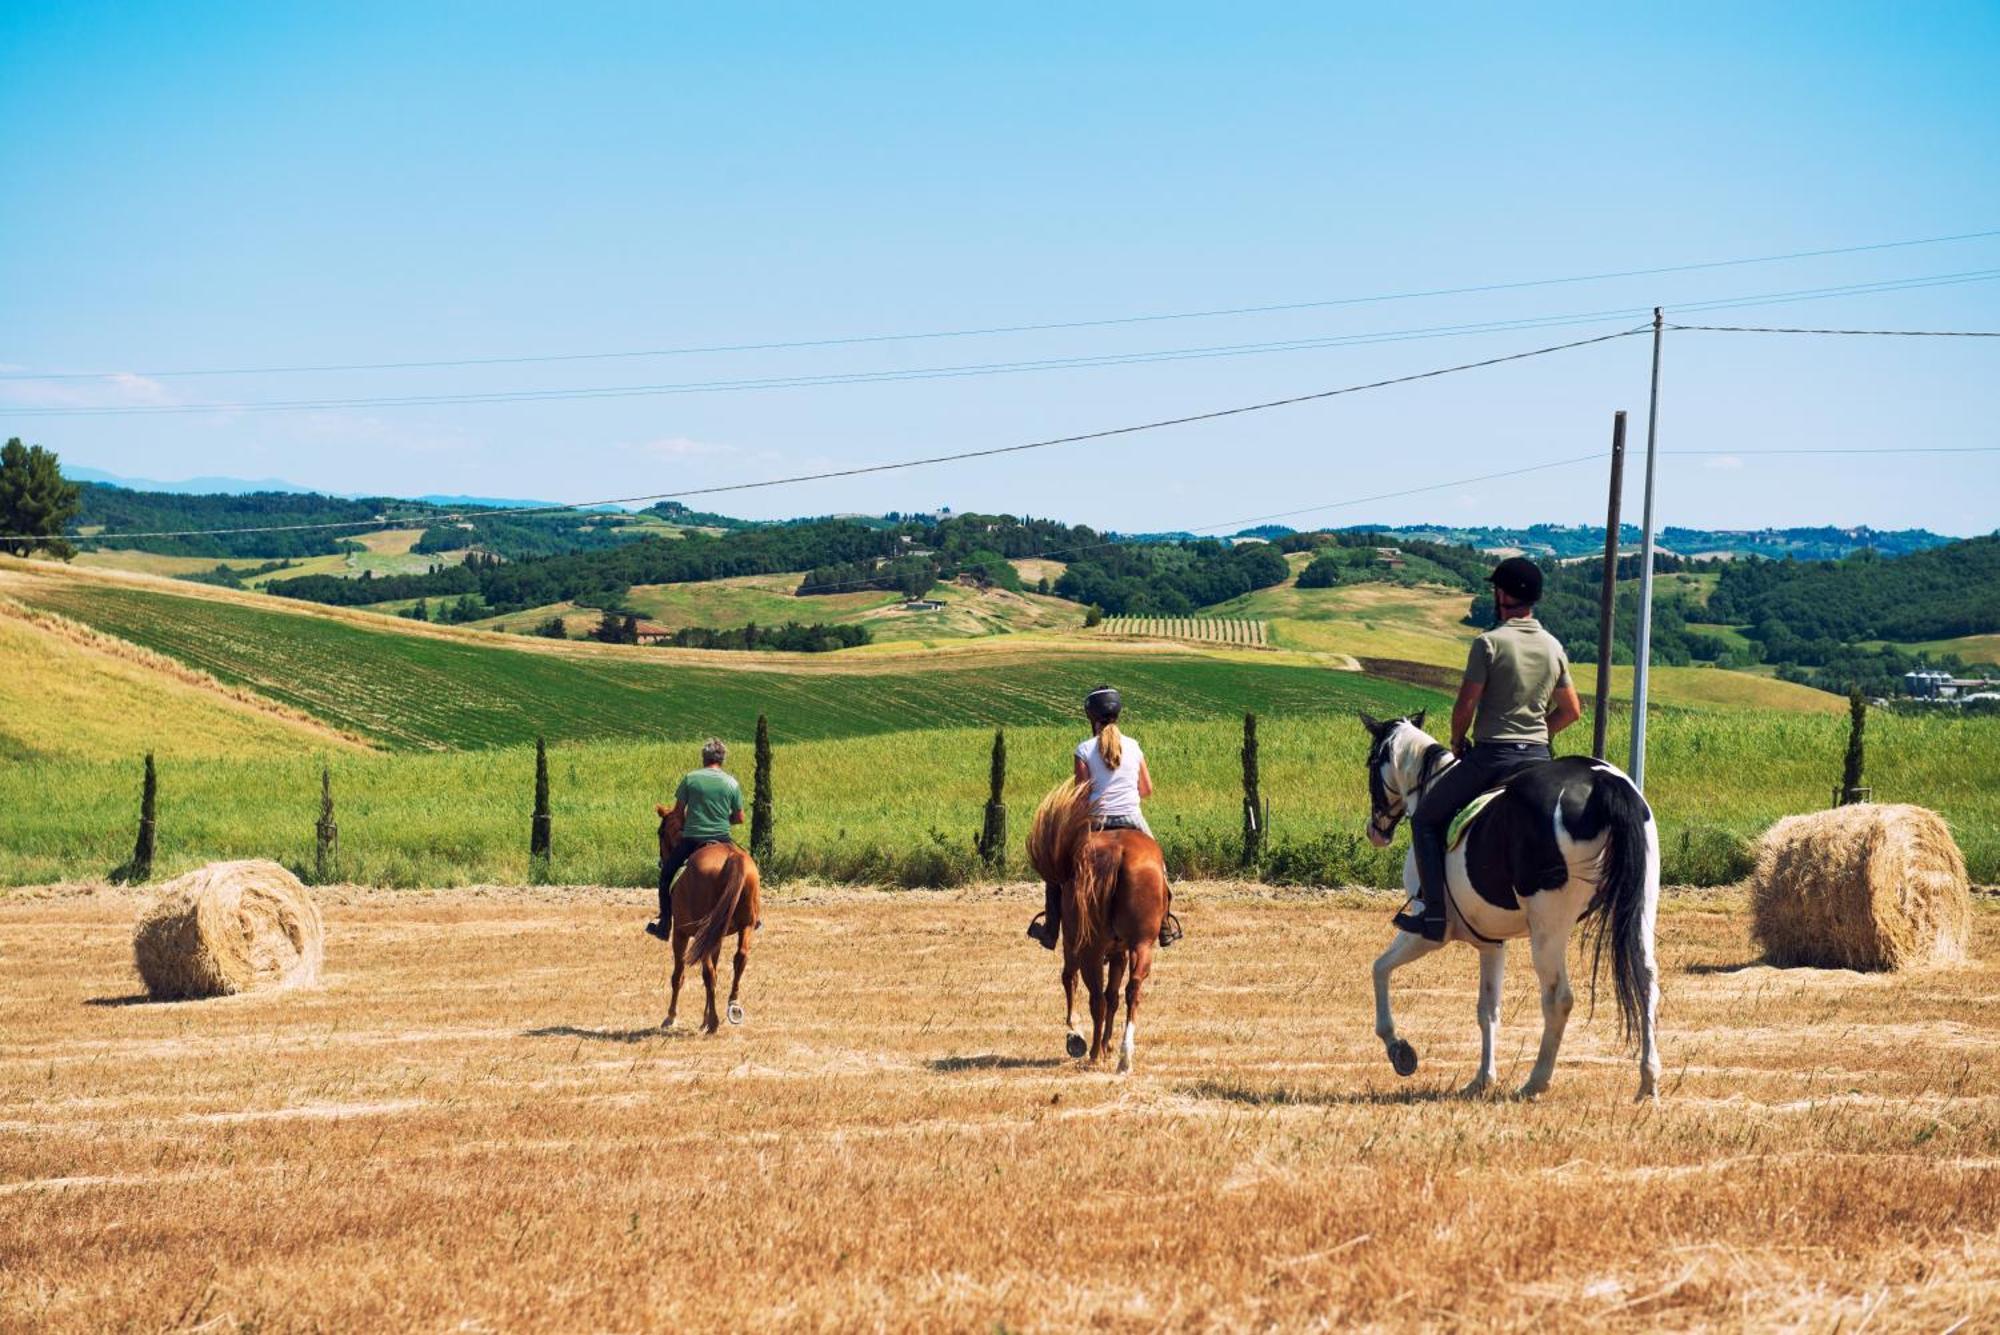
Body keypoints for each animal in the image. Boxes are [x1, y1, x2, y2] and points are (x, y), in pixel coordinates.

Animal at [656, 803, 756, 1031]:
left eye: (660, 833)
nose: (661, 862)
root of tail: (732, 857)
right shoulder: (714, 937)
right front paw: (702, 1018)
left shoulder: (681, 933)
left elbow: (679, 974)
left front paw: (671, 1017)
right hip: (744, 925)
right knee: (740, 958)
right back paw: (732, 1007)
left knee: (708, 972)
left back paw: (713, 1023)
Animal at [1024, 783, 1168, 1071]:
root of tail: (1118, 853)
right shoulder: (1120, 951)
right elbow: (1113, 996)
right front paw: (1107, 1046)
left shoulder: (1074, 943)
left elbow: (1070, 979)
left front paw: (1076, 1035)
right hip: (1141, 944)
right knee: (1131, 989)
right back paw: (1124, 1056)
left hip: (1089, 947)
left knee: (1095, 997)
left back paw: (1092, 1053)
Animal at [1360, 715, 1672, 1103]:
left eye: (1371, 763)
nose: (1375, 830)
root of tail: (1601, 781)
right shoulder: (1491, 942)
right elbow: (1488, 1010)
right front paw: (1482, 1079)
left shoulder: (1429, 933)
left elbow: (1379, 969)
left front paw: (1399, 1049)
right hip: (1641, 906)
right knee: (1645, 980)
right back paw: (1648, 1081)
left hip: (1548, 930)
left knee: (1558, 998)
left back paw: (1536, 1081)